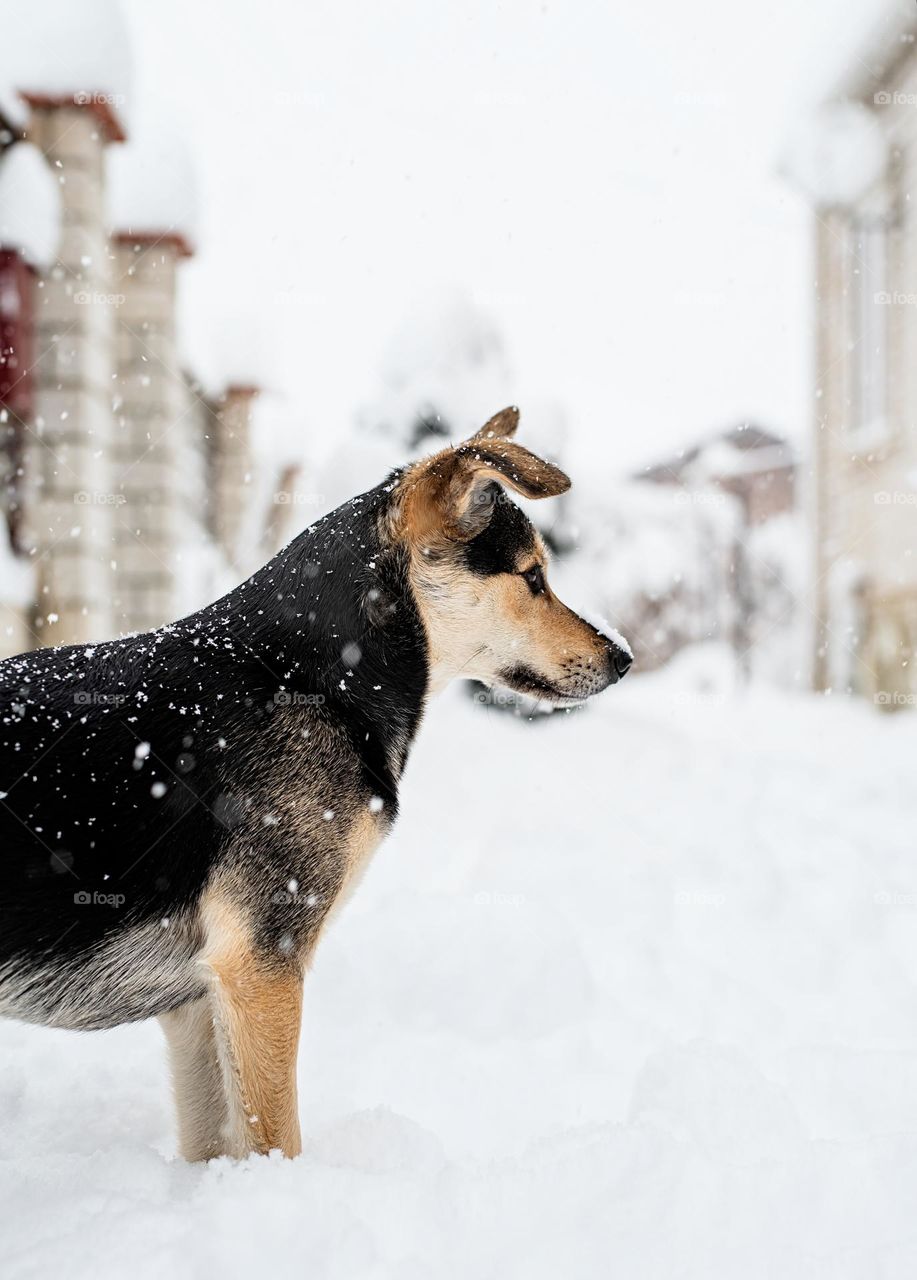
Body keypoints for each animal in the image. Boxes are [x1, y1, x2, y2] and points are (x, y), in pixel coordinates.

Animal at [0, 409, 630, 1162]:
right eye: (532, 577)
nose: (624, 658)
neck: (321, 675)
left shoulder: (197, 1001)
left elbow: (212, 1144)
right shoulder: (262, 968)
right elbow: (278, 1137)